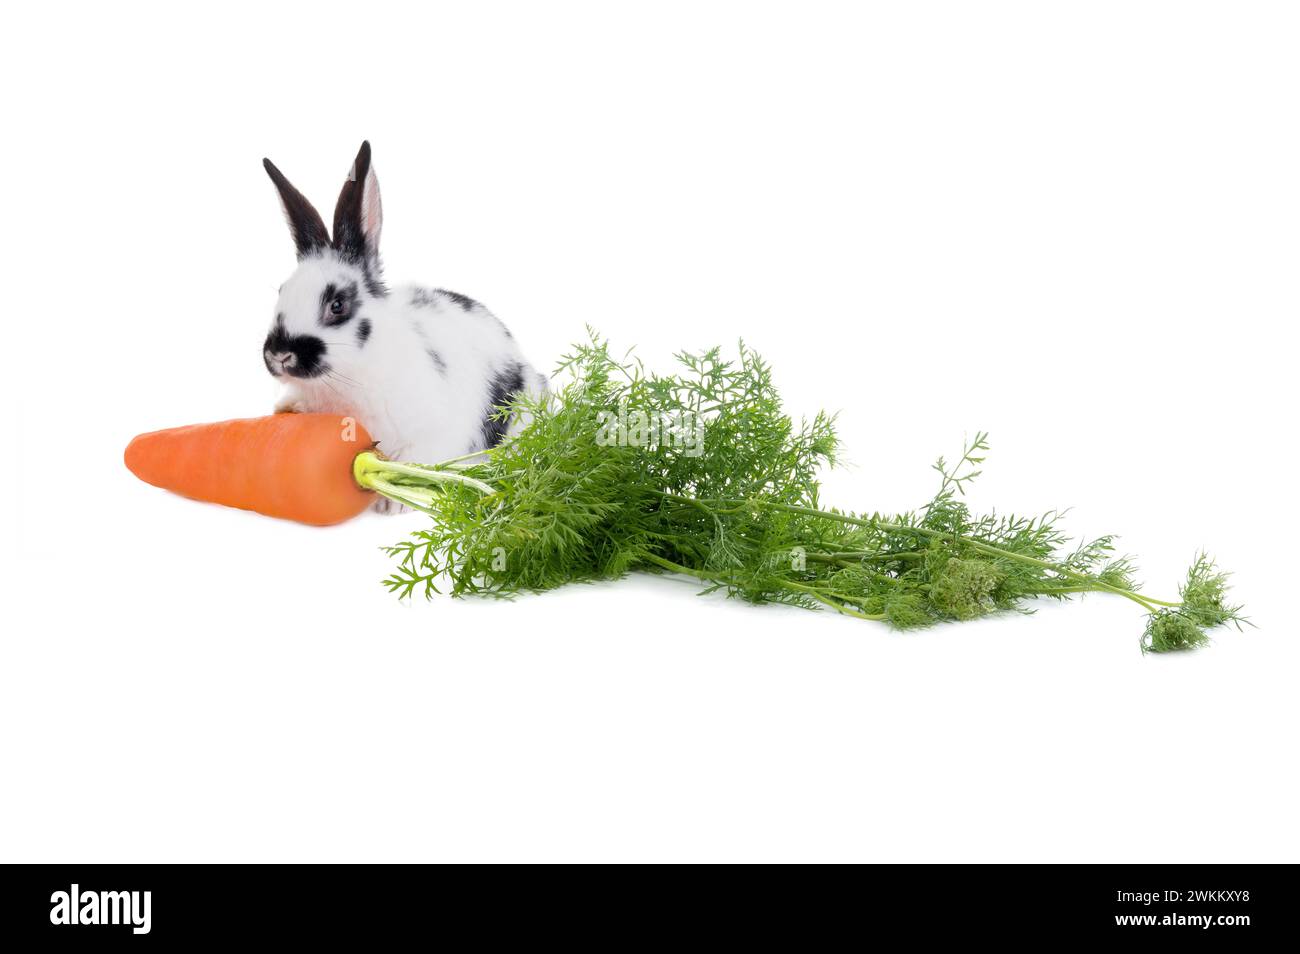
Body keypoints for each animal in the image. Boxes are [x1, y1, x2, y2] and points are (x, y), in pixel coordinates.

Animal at [263, 140, 548, 509]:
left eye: (337, 305)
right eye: (281, 292)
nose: (280, 355)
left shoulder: (432, 431)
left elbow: (413, 460)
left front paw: (390, 502)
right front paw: (285, 408)